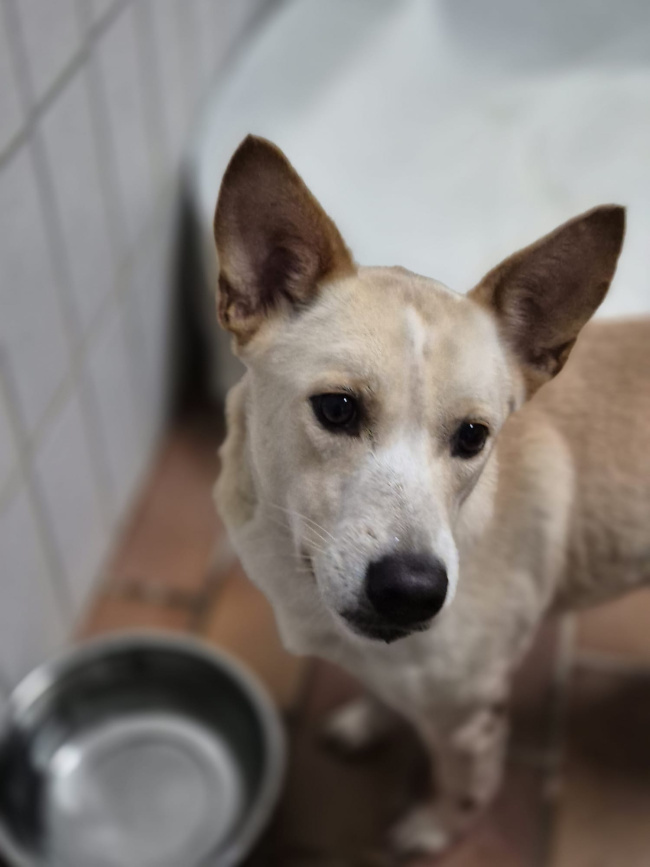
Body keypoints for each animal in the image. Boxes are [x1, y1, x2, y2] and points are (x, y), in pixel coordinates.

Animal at [213, 135, 650, 857]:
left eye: (474, 435)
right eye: (337, 408)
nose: (413, 590)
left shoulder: (472, 720)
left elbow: (462, 787)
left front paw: (434, 829)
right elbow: (383, 690)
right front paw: (369, 720)